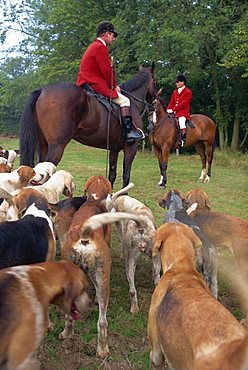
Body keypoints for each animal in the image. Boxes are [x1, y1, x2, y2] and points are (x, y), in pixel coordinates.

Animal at [19, 63, 157, 188]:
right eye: (155, 81)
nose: (154, 104)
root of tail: (42, 90)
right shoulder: (131, 148)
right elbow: (126, 175)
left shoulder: (114, 149)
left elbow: (112, 175)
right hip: (57, 146)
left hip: (43, 145)